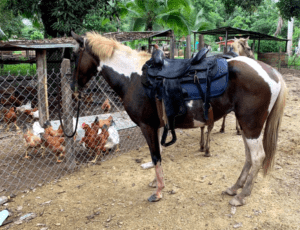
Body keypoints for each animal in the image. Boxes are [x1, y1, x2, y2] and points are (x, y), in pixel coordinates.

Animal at [71, 31, 288, 206]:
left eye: (73, 56)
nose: (73, 89)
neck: (132, 77)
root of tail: (272, 73)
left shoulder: (147, 126)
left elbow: (155, 155)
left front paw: (158, 192)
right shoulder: (158, 125)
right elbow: (158, 154)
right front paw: (155, 182)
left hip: (251, 125)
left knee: (258, 156)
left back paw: (241, 196)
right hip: (247, 126)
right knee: (249, 157)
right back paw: (234, 188)